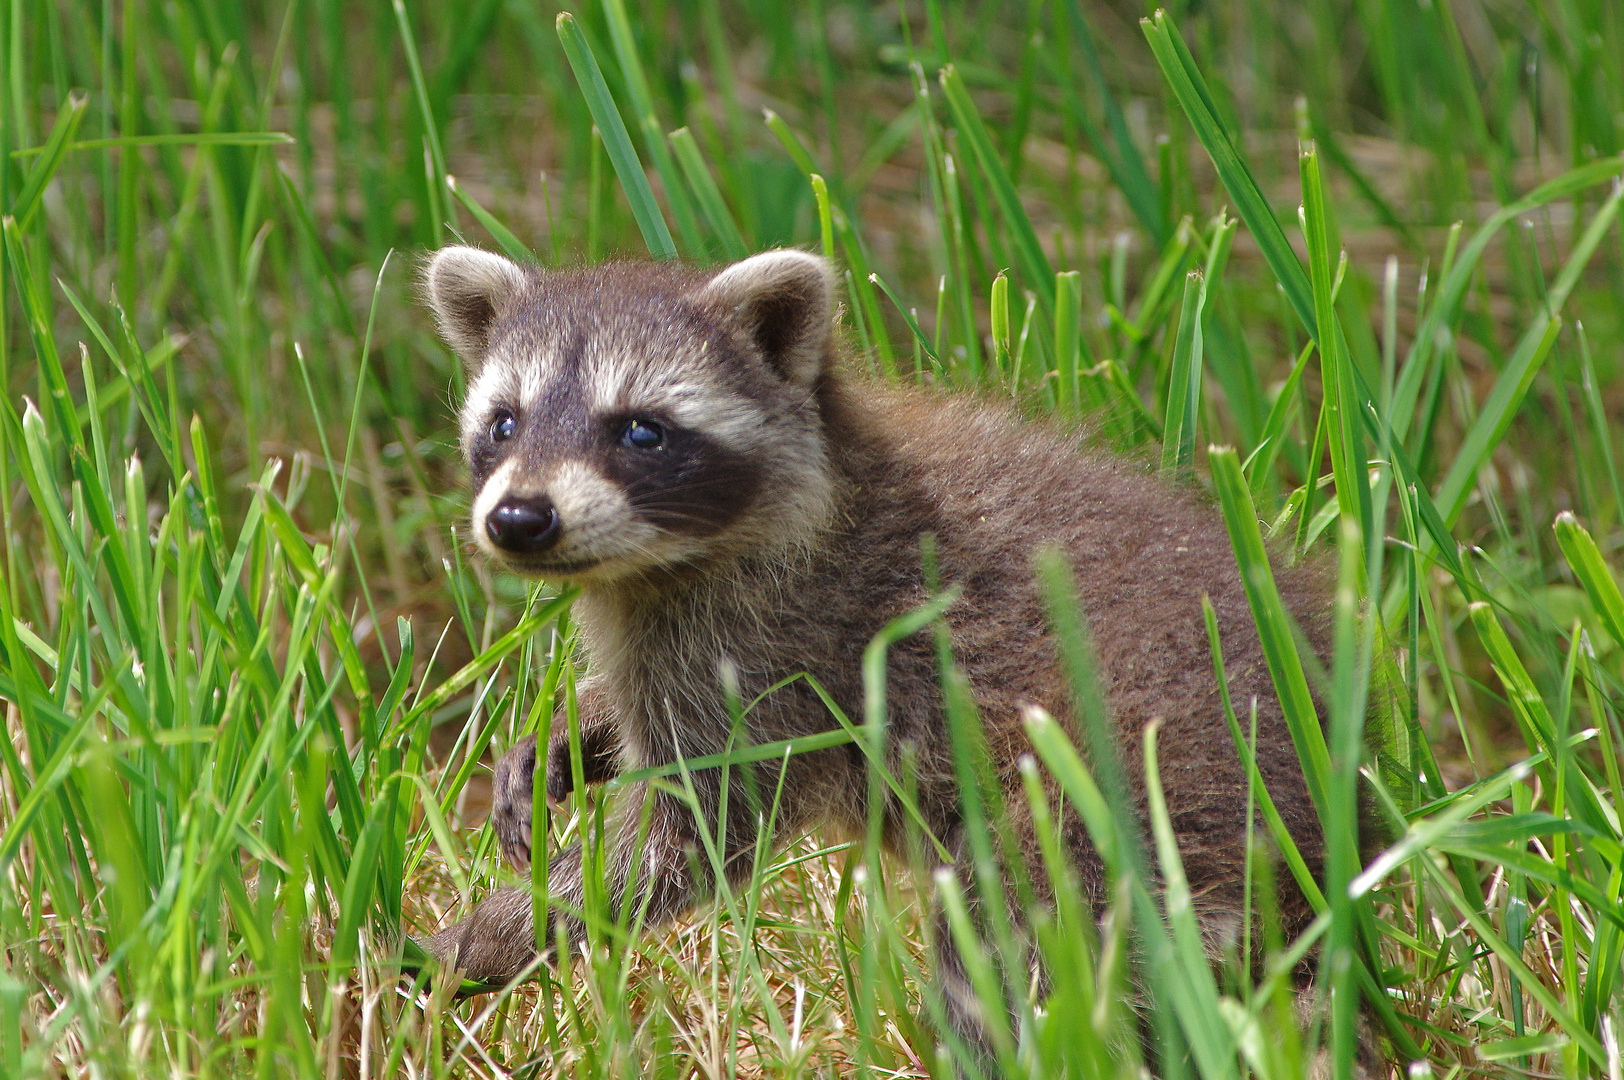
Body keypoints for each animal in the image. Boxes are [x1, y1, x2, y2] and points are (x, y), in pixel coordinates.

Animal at [415, 246, 1331, 1052]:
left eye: (641, 433)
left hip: (1133, 810)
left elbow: (680, 843)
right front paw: (581, 726)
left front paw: (474, 942)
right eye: (504, 423)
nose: (519, 520)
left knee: (1010, 944)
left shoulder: (776, 653)